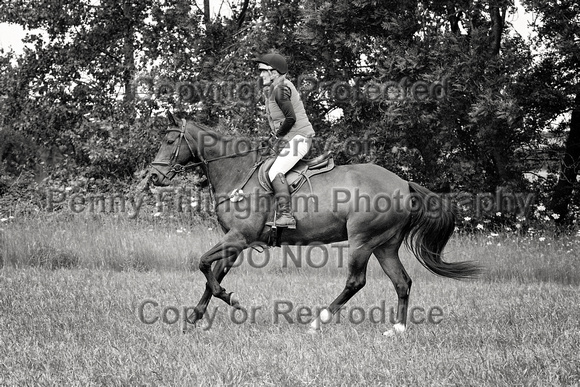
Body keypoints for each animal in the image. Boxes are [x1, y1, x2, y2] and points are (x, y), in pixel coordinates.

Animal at [150, 115, 480, 336]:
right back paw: (396, 330)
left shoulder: (239, 238)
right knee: (402, 282)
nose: (154, 177)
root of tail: (403, 183)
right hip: (385, 244)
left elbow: (204, 264)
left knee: (356, 282)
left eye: (170, 141)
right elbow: (213, 275)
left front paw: (231, 300)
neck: (237, 172)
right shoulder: (235, 241)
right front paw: (194, 317)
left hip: (362, 240)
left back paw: (316, 322)